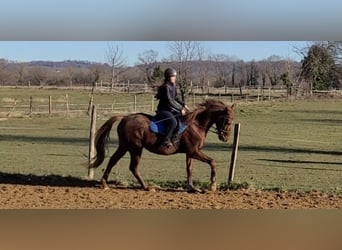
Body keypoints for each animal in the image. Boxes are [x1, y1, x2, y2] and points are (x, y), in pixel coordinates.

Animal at [90, 98, 235, 192]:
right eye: (228, 121)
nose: (225, 137)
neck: (196, 124)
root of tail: (125, 118)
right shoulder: (194, 152)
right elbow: (212, 162)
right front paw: (213, 185)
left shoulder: (190, 153)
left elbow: (189, 169)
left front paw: (192, 188)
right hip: (135, 148)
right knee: (133, 167)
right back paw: (147, 187)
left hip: (125, 146)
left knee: (113, 160)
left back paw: (105, 184)